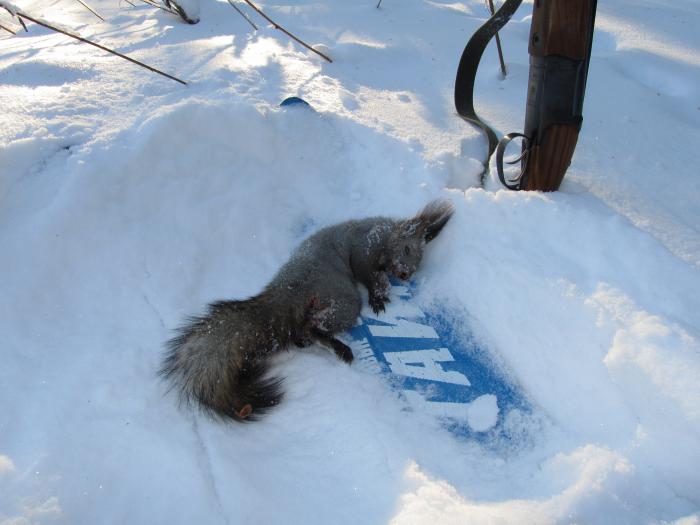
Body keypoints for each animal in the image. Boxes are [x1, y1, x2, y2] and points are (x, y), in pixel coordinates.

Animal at [160, 200, 454, 422]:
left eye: (419, 260)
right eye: (407, 249)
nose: (406, 275)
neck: (384, 232)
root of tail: (288, 292)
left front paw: (384, 288)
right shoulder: (364, 248)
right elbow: (367, 273)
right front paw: (378, 294)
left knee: (302, 333)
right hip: (343, 299)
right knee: (314, 328)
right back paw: (339, 347)